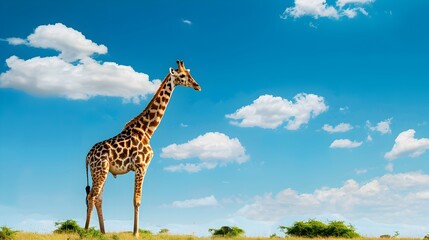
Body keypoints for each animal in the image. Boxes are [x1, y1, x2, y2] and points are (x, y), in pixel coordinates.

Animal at [85, 60, 202, 236]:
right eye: (182, 75)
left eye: (189, 73)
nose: (197, 86)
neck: (148, 131)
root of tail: (87, 156)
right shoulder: (141, 166)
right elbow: (137, 199)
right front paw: (136, 233)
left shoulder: (141, 167)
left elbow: (137, 199)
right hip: (99, 170)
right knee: (91, 196)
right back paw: (85, 231)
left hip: (101, 171)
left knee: (97, 198)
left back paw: (103, 233)